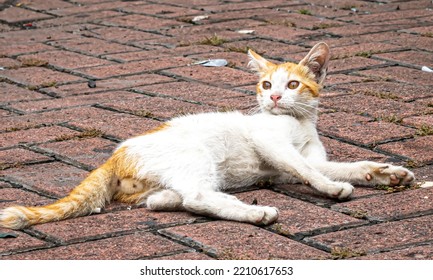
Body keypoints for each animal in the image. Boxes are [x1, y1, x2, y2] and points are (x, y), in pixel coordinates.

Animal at [0, 42, 416, 230]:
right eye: (266, 85)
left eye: (294, 84)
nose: (274, 98)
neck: (299, 123)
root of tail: (115, 154)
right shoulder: (273, 145)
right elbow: (309, 171)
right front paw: (332, 189)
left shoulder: (310, 156)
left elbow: (340, 165)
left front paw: (384, 173)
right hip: (196, 156)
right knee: (198, 198)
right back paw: (256, 212)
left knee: (168, 200)